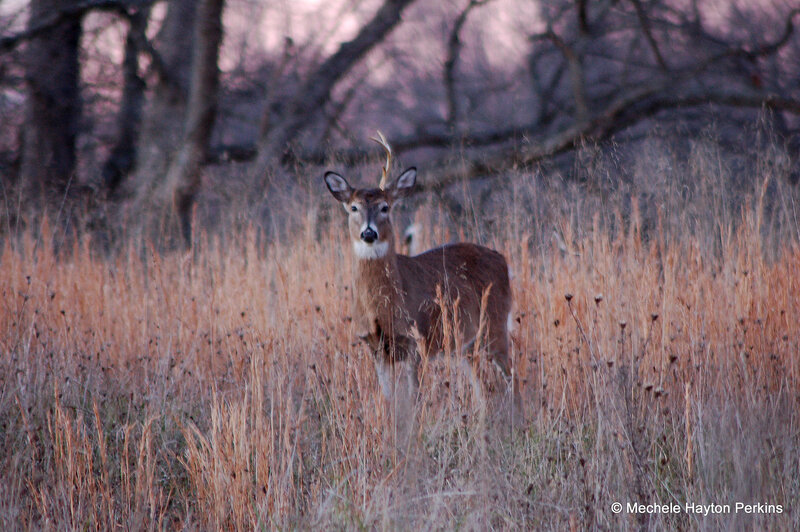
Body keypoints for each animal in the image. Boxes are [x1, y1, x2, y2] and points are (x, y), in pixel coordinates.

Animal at [324, 133, 515, 404]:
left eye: (385, 207)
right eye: (354, 208)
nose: (369, 233)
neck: (382, 307)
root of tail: (503, 260)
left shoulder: (417, 340)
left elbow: (412, 399)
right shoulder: (375, 346)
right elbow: (390, 400)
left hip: (494, 324)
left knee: (512, 379)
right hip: (466, 344)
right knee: (482, 390)